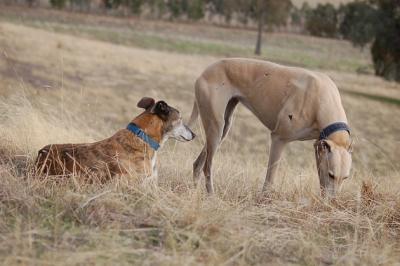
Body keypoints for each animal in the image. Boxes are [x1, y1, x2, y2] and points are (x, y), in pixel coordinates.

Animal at [189, 58, 352, 197]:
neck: (322, 98)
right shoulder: (278, 139)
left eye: (345, 178)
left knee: (198, 164)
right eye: (331, 174)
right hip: (216, 127)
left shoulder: (319, 147)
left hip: (223, 128)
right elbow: (270, 178)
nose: (330, 203)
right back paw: (211, 195)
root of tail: (205, 71)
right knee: (207, 167)